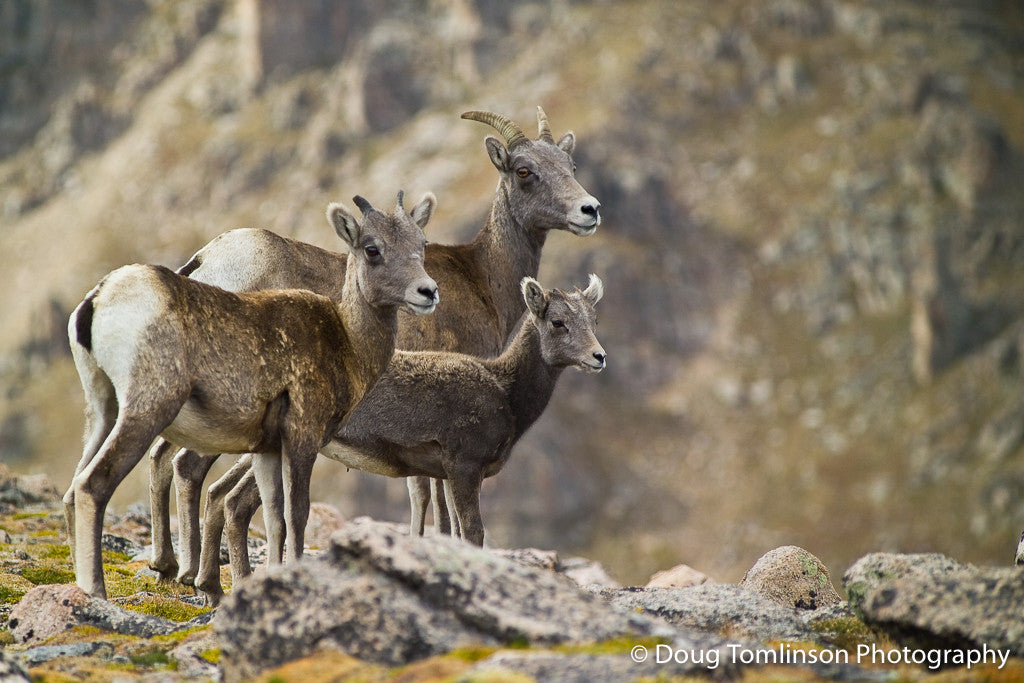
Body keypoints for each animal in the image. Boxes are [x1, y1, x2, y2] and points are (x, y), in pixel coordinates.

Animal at [59, 192, 436, 598]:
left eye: (421, 245)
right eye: (372, 249)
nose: (428, 291)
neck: (348, 342)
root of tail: (97, 302)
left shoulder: (266, 451)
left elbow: (273, 519)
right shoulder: (301, 439)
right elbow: (296, 515)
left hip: (102, 412)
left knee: (73, 489)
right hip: (145, 412)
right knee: (93, 485)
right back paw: (98, 592)